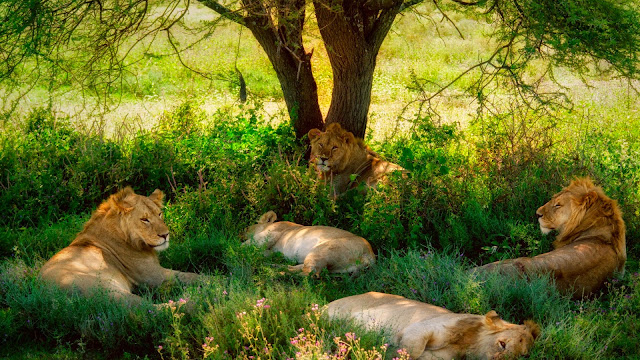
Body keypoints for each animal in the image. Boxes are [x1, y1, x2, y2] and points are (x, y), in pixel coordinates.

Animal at [39, 187, 199, 308]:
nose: (165, 235)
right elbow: (191, 276)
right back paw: (194, 303)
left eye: (159, 214)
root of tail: (47, 295)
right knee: (150, 309)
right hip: (110, 290)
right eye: (144, 219)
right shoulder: (153, 277)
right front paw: (206, 283)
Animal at [244, 211, 376, 276]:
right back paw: (274, 266)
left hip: (322, 250)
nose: (241, 233)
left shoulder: (272, 233)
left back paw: (277, 273)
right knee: (304, 268)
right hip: (336, 267)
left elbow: (246, 245)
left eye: (247, 228)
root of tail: (370, 255)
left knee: (310, 273)